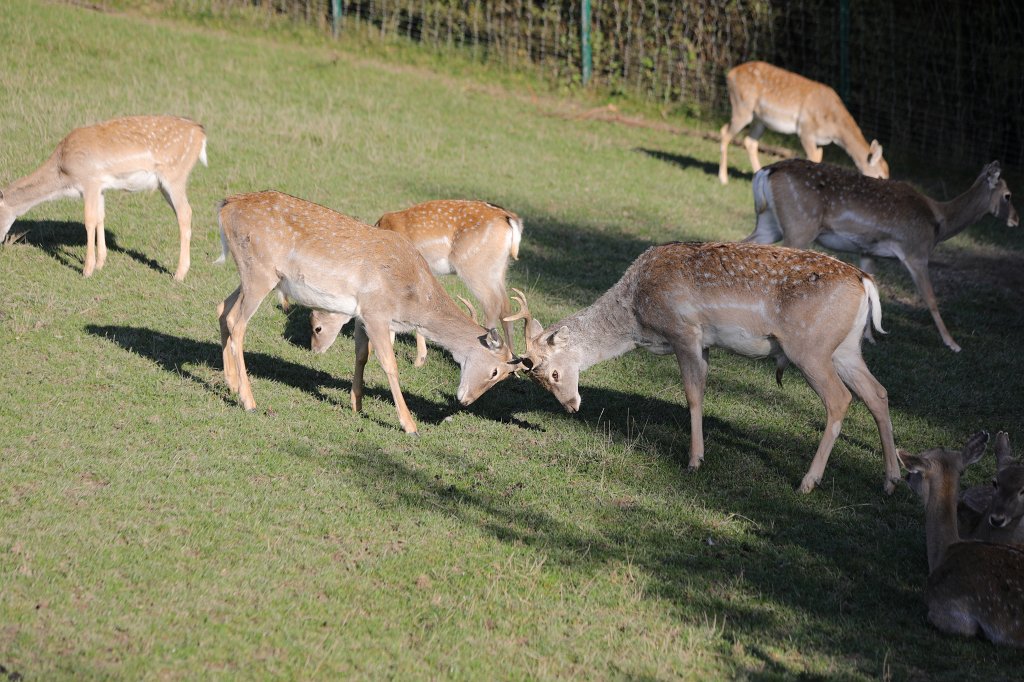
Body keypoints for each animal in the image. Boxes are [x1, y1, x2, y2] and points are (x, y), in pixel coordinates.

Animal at [0, 115, 207, 281]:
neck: (63, 173)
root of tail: (200, 132)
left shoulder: (89, 181)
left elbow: (89, 220)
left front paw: (87, 270)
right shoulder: (100, 187)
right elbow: (100, 217)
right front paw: (100, 263)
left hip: (174, 175)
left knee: (185, 212)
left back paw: (179, 274)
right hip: (166, 183)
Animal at [306, 199, 523, 367]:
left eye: (317, 327)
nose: (313, 350)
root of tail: (509, 219)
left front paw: (415, 359)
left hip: (475, 267)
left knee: (492, 306)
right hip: (499, 268)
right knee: (506, 306)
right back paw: (514, 361)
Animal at [506, 241, 900, 494]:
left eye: (554, 373)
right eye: (540, 381)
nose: (571, 406)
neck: (637, 317)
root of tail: (865, 283)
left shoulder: (685, 332)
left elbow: (693, 395)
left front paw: (694, 460)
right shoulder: (706, 344)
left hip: (810, 347)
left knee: (840, 399)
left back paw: (808, 482)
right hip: (845, 349)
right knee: (878, 393)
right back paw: (892, 479)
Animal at [718, 61, 888, 185]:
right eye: (880, 176)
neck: (834, 129)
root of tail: (730, 74)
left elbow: (817, 158)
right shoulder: (806, 129)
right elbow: (812, 157)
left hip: (760, 119)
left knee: (750, 141)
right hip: (742, 106)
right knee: (725, 131)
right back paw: (723, 178)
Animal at [744, 158, 1019, 352]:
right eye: (1008, 195)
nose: (1016, 220)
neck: (938, 224)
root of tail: (767, 170)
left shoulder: (868, 251)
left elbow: (873, 285)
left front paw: (869, 337)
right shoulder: (915, 251)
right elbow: (930, 298)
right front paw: (953, 343)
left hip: (769, 223)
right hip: (800, 224)